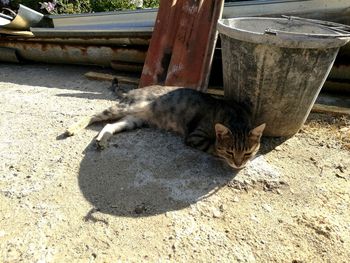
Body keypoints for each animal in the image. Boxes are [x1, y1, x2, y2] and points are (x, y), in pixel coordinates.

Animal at [65, 85, 264, 170]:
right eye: (230, 152)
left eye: (247, 152)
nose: (238, 164)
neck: (235, 116)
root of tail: (133, 90)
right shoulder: (195, 136)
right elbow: (213, 147)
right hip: (124, 107)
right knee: (93, 116)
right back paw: (72, 128)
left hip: (134, 120)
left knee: (109, 125)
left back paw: (102, 140)